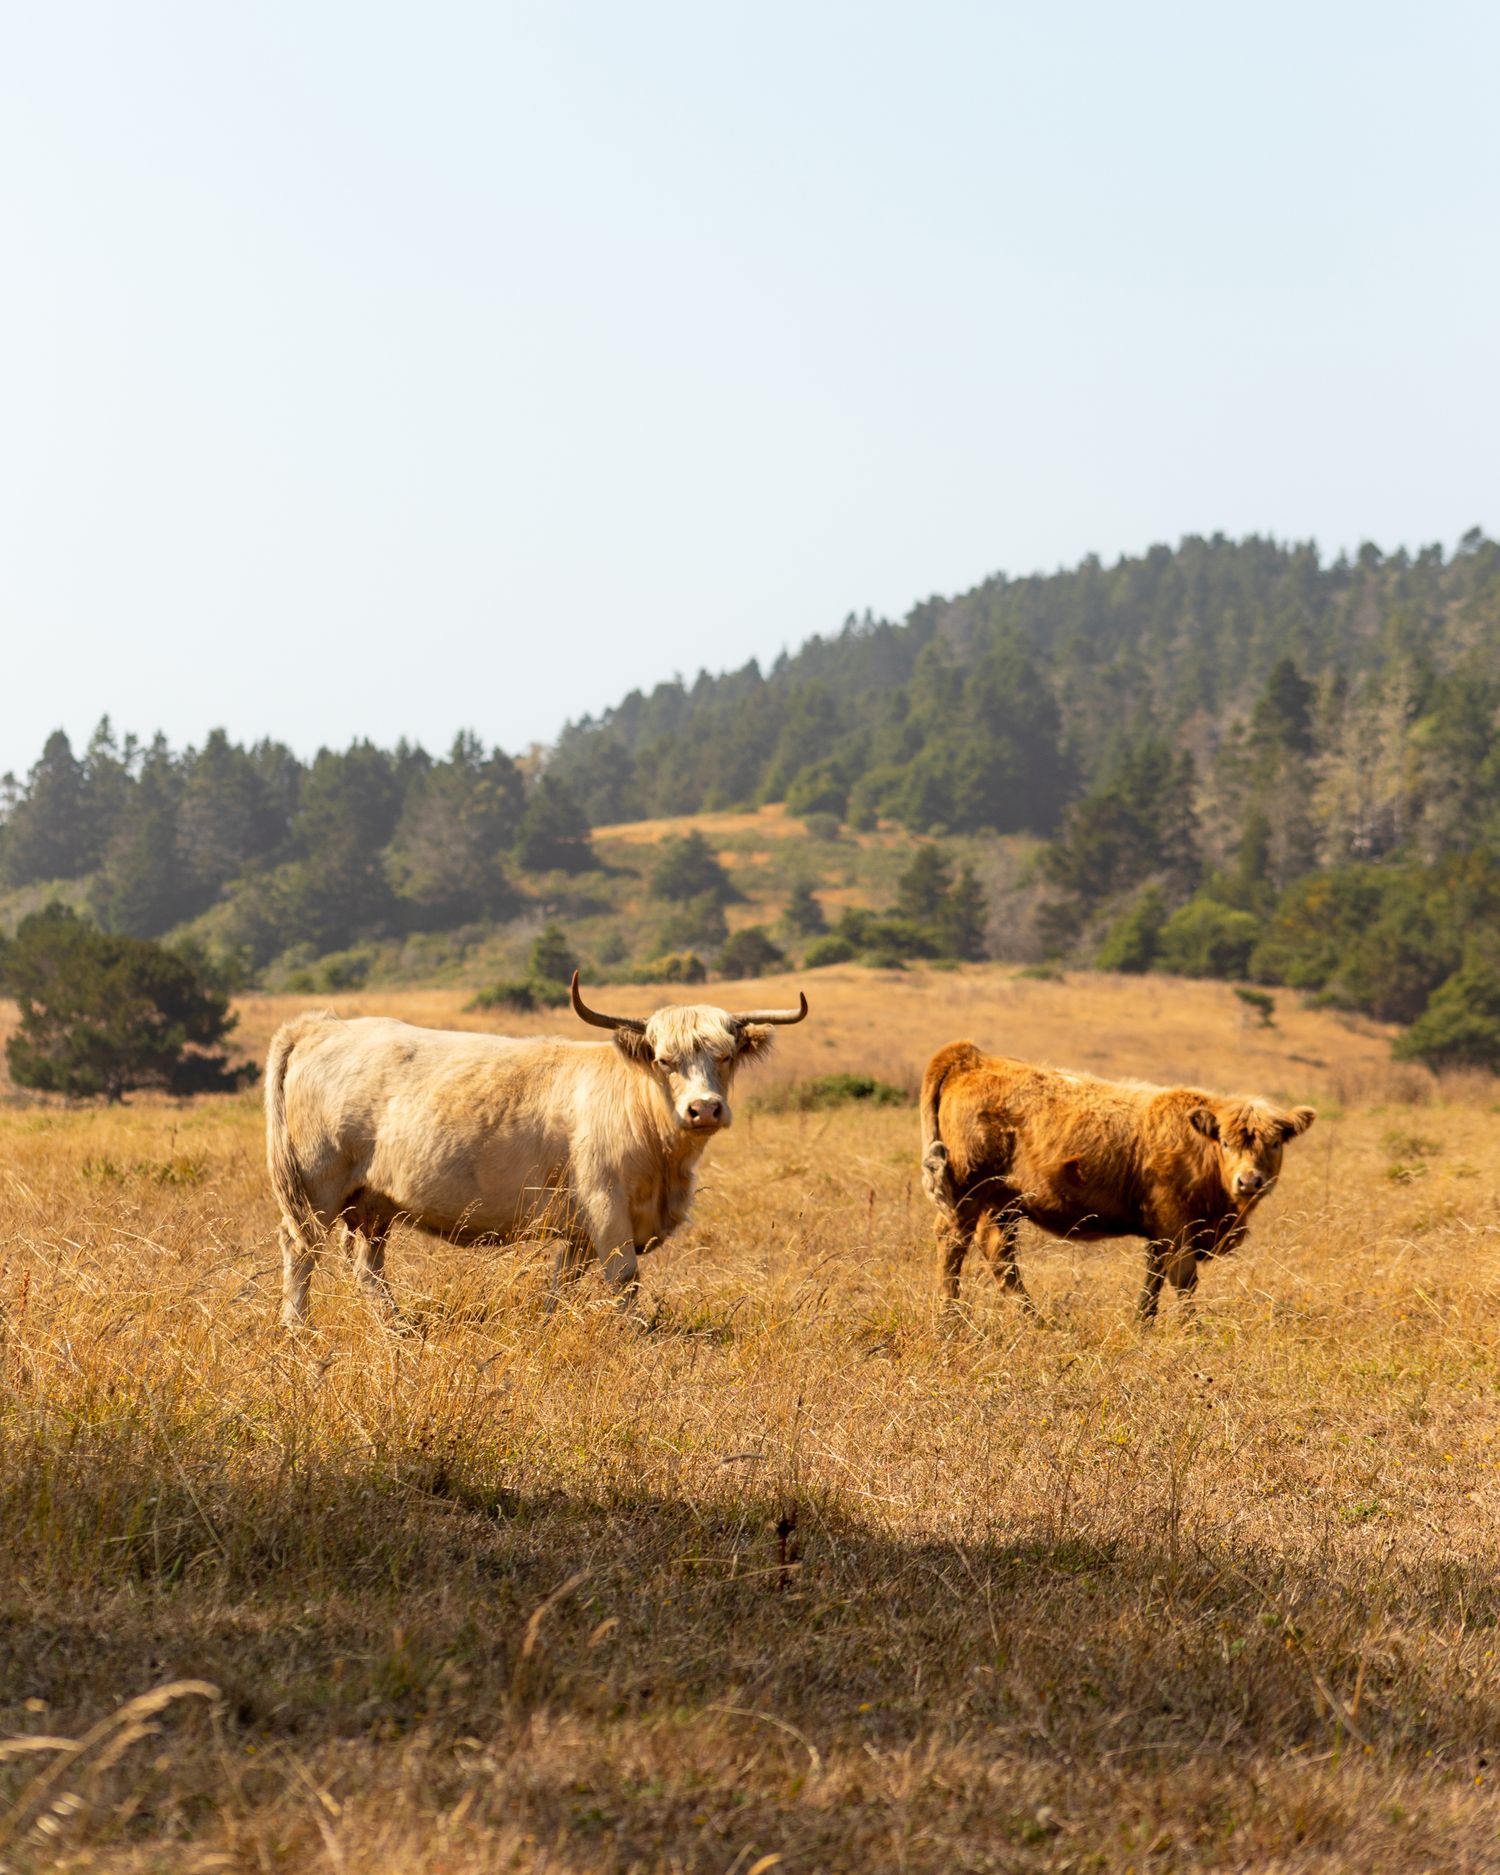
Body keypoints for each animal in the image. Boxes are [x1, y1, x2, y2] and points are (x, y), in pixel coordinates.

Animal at [265, 973, 808, 1330]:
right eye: (663, 1059)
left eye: (726, 1056)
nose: (704, 1109)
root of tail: (320, 1027)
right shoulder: (606, 1204)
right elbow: (624, 1277)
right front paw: (635, 1335)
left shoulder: (581, 1228)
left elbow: (560, 1283)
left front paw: (547, 1326)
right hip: (315, 1189)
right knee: (300, 1250)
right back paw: (299, 1330)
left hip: (374, 1203)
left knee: (367, 1266)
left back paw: (397, 1328)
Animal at [919, 1041, 1315, 1319]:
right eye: (1227, 1143)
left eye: (1275, 1143)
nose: (1249, 1181)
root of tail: (971, 1057)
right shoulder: (1175, 1224)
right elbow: (1183, 1279)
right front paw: (1193, 1329)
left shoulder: (1162, 1232)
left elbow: (1154, 1279)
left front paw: (1143, 1323)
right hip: (967, 1190)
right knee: (953, 1244)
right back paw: (950, 1320)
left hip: (1002, 1201)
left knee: (999, 1255)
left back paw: (1034, 1320)